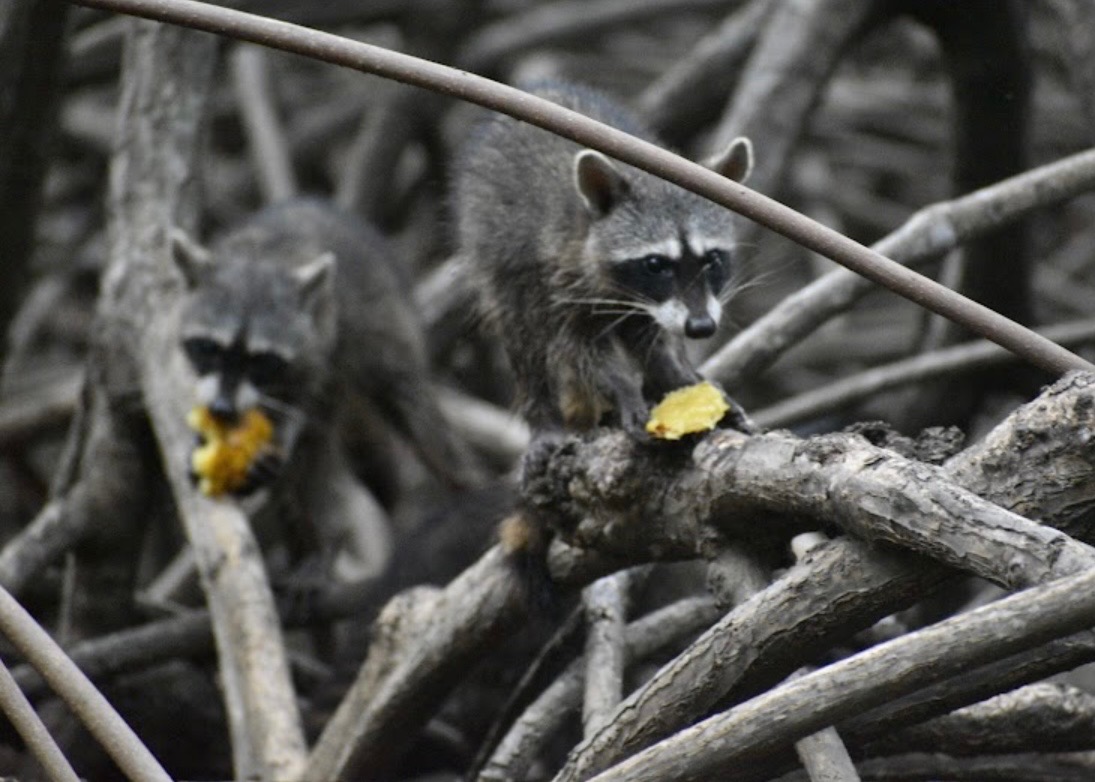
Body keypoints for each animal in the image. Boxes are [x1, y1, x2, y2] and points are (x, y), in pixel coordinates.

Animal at [453, 81, 753, 436]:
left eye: (712, 259)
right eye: (655, 265)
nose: (701, 327)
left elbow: (655, 342)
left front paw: (677, 377)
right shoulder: (561, 273)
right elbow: (581, 347)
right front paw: (623, 388)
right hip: (495, 250)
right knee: (523, 331)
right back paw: (544, 416)